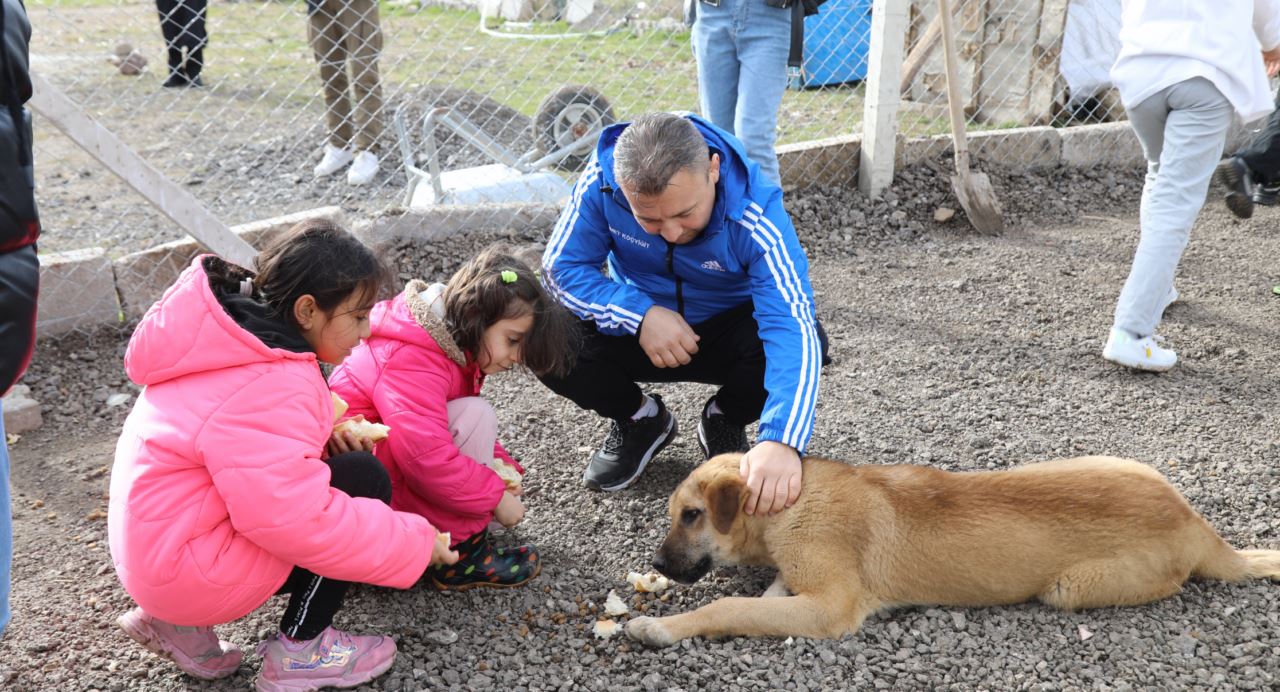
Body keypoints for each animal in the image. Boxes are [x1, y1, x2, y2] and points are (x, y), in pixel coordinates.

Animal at [627, 455, 1280, 644]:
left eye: (691, 515)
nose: (655, 565)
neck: (790, 501)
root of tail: (1199, 527)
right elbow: (765, 596)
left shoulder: (832, 608)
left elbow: (731, 606)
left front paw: (659, 627)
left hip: (1068, 588)